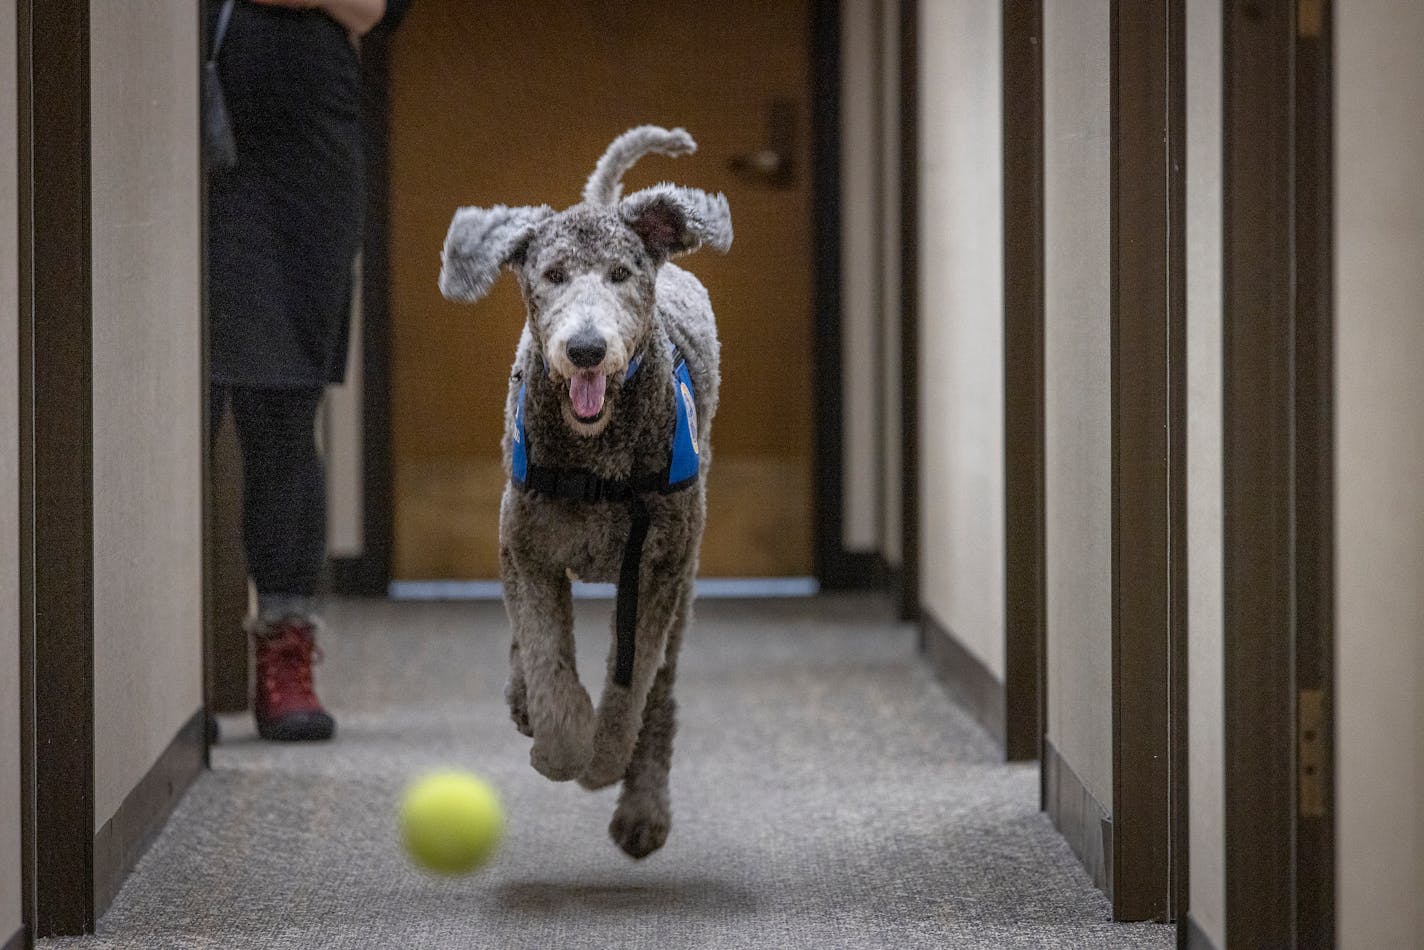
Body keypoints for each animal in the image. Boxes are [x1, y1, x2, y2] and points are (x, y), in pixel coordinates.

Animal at [435, 126, 729, 860]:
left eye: (621, 274)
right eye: (553, 276)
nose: (587, 349)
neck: (597, 458)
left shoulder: (655, 570)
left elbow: (631, 685)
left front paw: (601, 763)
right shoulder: (531, 549)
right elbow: (546, 653)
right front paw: (561, 749)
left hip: (685, 572)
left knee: (662, 695)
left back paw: (642, 809)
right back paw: (524, 703)